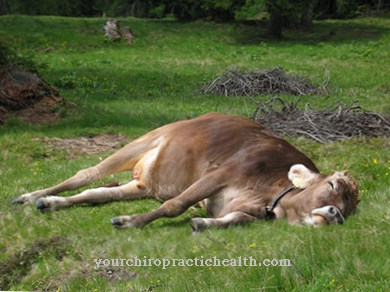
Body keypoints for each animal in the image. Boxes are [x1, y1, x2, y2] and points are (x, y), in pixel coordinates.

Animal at [12, 113, 360, 232]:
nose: (336, 214)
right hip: (147, 139)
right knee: (86, 174)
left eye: (351, 208)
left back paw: (51, 203)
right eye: (332, 185)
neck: (269, 196)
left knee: (96, 193)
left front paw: (204, 223)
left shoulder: (246, 209)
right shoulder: (221, 174)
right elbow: (175, 206)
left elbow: (235, 220)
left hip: (146, 184)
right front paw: (131, 222)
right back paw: (30, 196)